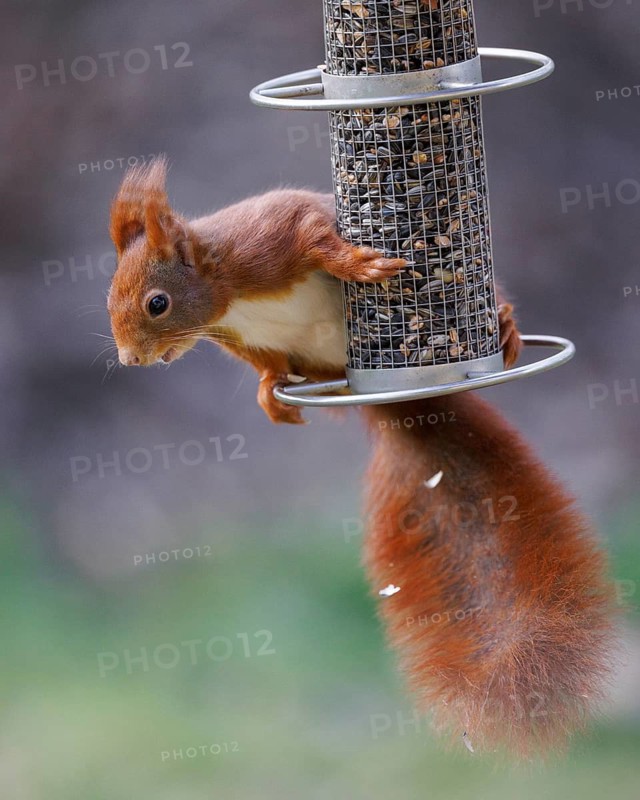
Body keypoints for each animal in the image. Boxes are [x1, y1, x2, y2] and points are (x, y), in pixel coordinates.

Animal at [107, 157, 617, 758]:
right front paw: (268, 394)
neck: (228, 292)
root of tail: (402, 399)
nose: (130, 359)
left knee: (496, 309)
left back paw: (508, 326)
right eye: (109, 299)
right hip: (326, 369)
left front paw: (357, 263)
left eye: (156, 302)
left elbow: (310, 234)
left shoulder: (265, 240)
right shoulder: (247, 339)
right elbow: (269, 368)